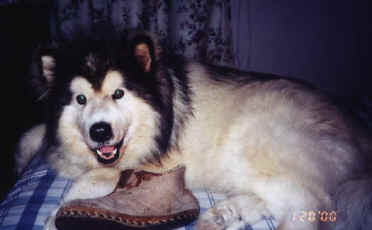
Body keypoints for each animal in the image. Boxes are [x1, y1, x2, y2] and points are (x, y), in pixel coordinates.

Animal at [16, 32, 372, 230]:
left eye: (119, 94)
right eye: (80, 99)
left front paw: (54, 219)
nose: (100, 131)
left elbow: (78, 187)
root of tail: (358, 130)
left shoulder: (121, 168)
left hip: (255, 141)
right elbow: (37, 134)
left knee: (308, 205)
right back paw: (224, 215)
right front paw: (22, 157)